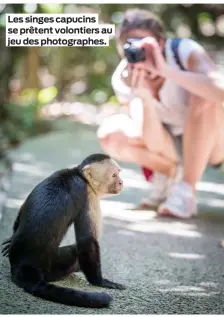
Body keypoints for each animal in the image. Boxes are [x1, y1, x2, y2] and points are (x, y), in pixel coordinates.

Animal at [1, 154, 124, 308]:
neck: (78, 174)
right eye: (114, 175)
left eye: (118, 174)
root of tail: (24, 265)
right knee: (75, 252)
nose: (121, 182)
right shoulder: (87, 193)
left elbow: (23, 208)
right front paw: (100, 281)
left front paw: (10, 240)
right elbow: (87, 240)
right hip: (53, 268)